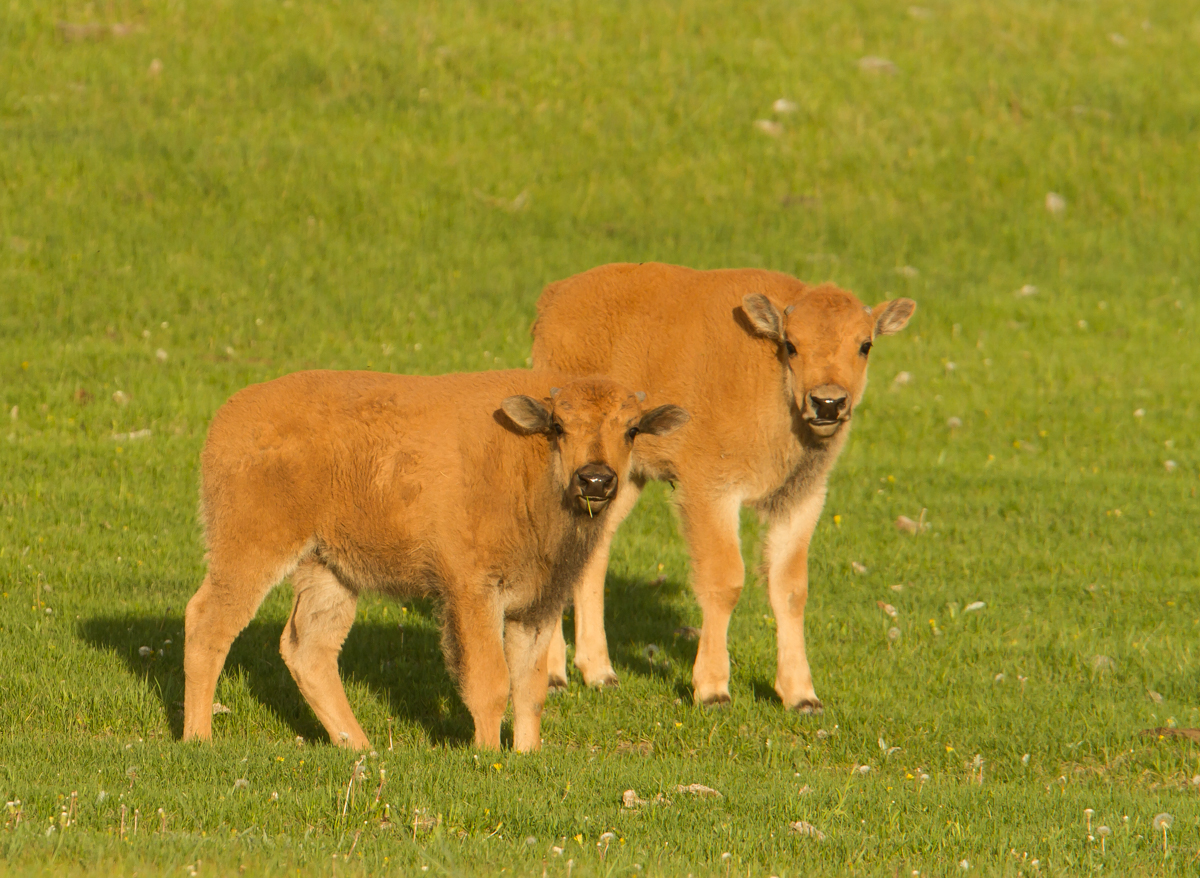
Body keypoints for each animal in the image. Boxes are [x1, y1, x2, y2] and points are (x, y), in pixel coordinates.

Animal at [182, 369, 688, 751]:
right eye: (560, 427)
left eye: (631, 430)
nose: (595, 480)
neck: (529, 461)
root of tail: (229, 417)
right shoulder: (472, 592)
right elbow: (490, 681)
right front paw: (488, 754)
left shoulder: (537, 603)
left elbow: (530, 687)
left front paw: (526, 754)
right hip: (250, 550)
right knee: (208, 622)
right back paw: (199, 739)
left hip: (329, 568)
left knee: (309, 648)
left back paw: (360, 747)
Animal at [531, 262, 915, 710]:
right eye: (791, 344)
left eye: (865, 345)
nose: (828, 403)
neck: (770, 382)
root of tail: (554, 298)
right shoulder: (711, 492)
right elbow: (725, 580)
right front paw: (713, 689)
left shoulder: (800, 499)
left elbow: (790, 588)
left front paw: (802, 696)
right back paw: (552, 676)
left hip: (619, 480)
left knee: (594, 552)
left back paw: (600, 673)